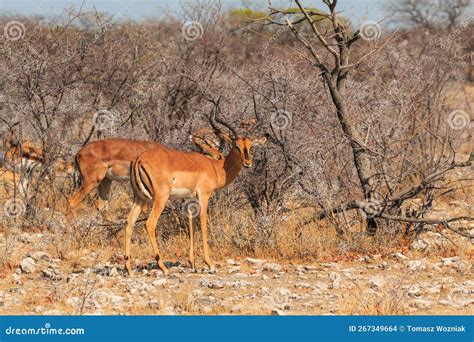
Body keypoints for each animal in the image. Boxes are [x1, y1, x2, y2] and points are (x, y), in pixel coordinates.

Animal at [124, 105, 266, 274]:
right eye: (236, 146)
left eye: (250, 147)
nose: (248, 163)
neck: (216, 167)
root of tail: (139, 159)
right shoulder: (204, 195)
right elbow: (203, 223)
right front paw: (209, 263)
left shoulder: (189, 199)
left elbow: (191, 224)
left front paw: (192, 263)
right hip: (160, 198)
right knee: (150, 224)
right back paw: (163, 267)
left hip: (139, 198)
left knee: (129, 222)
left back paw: (128, 268)